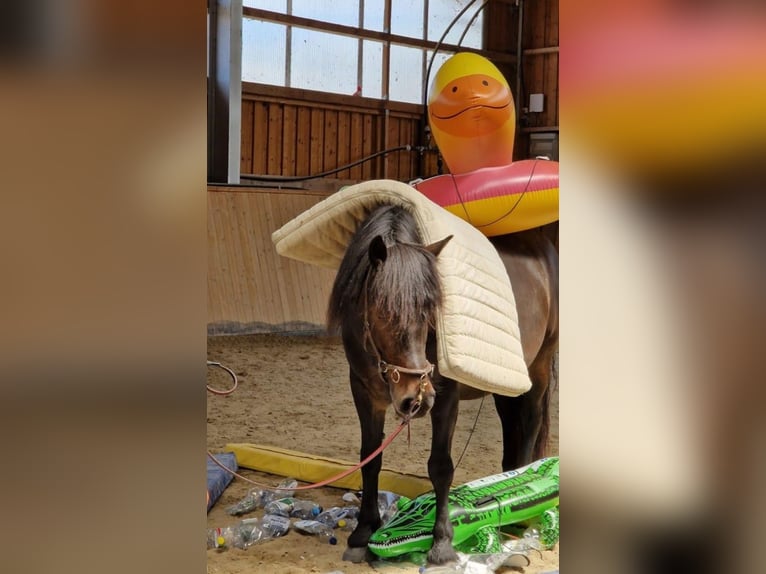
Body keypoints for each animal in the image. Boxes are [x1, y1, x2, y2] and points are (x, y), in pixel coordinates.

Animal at [328, 204, 560, 568]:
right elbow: (370, 459)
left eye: (429, 312)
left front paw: (442, 544)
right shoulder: (364, 392)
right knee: (514, 428)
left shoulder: (446, 395)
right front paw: (363, 533)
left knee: (531, 423)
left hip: (538, 367)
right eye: (383, 312)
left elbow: (440, 467)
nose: (416, 399)